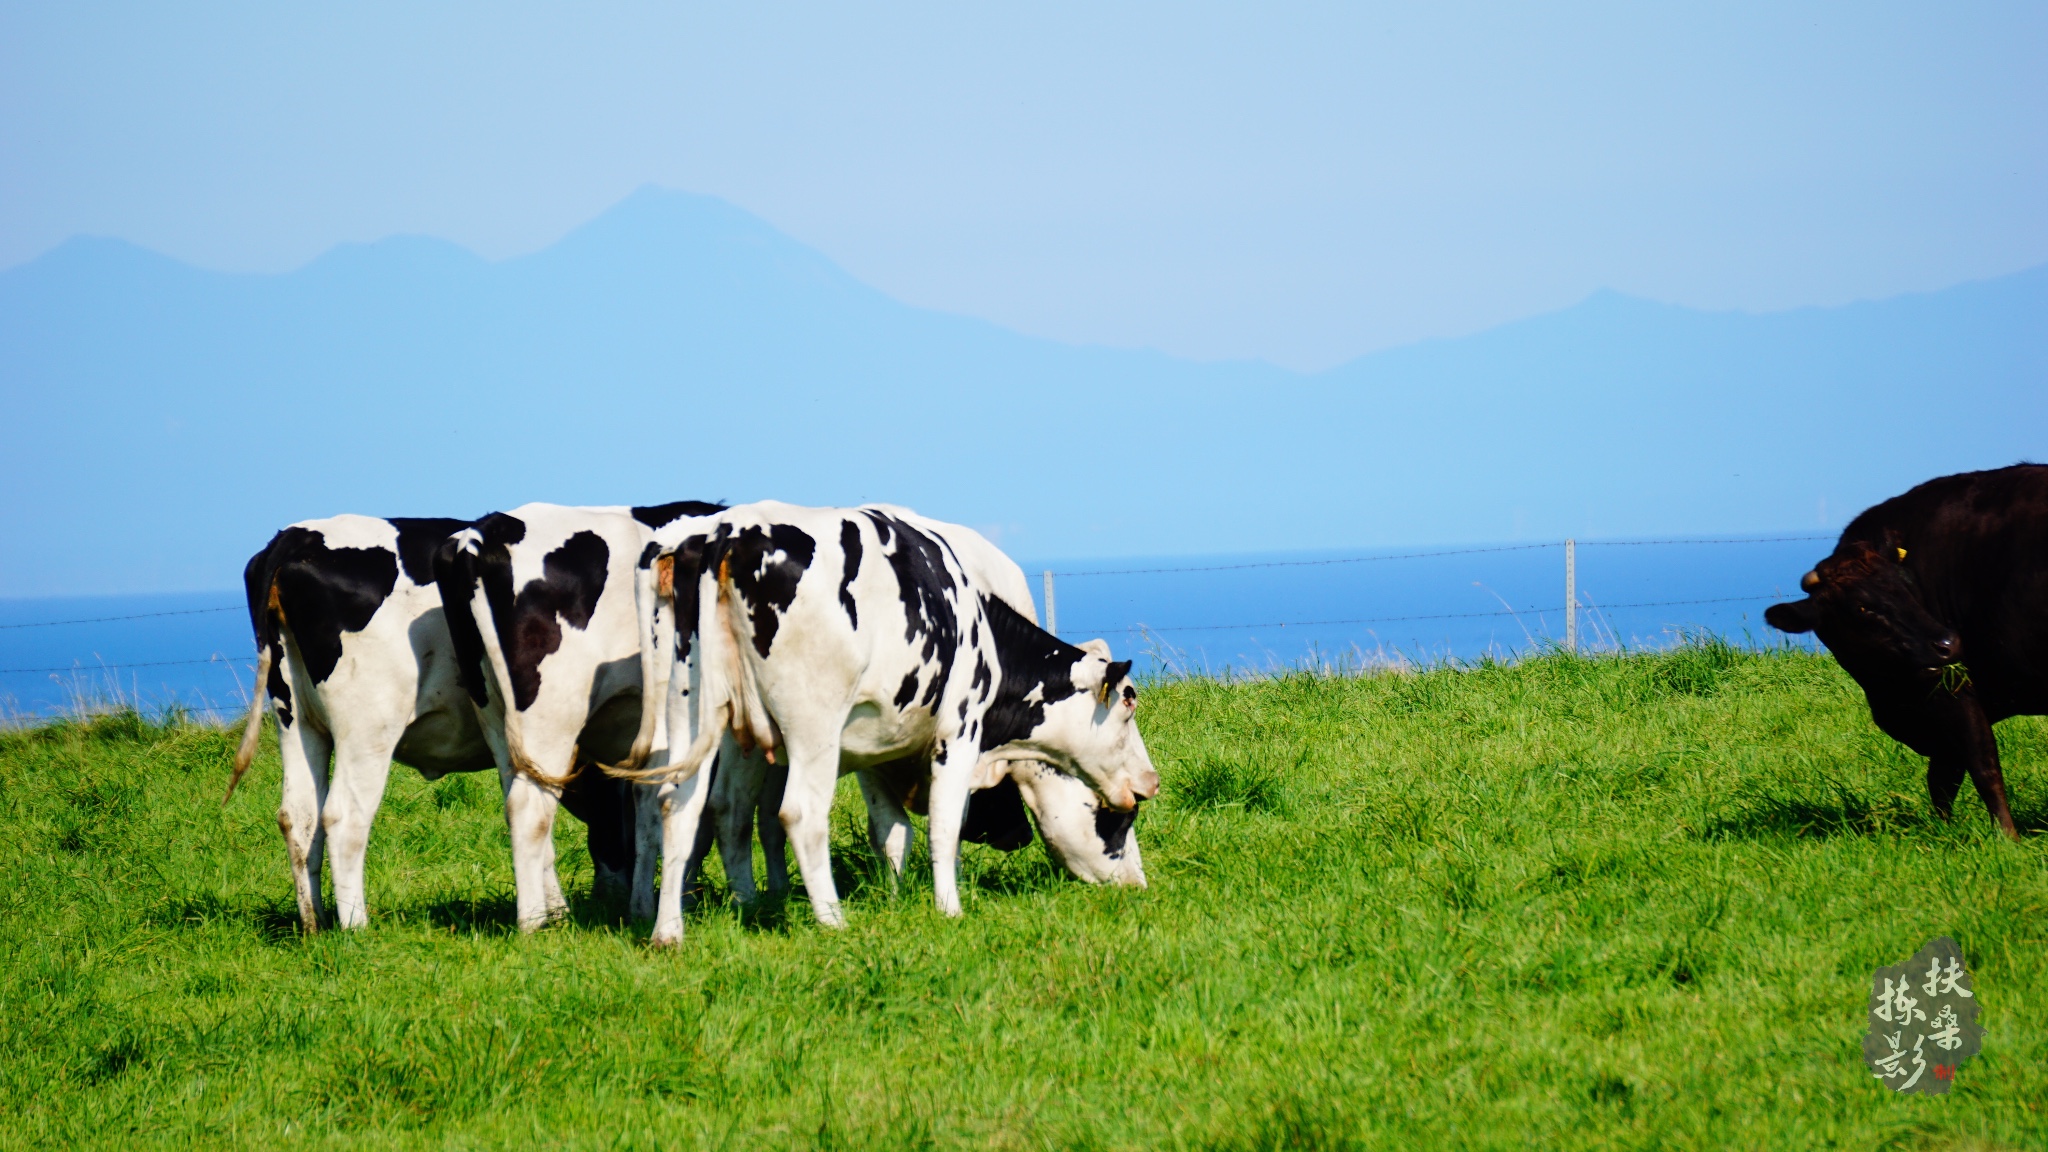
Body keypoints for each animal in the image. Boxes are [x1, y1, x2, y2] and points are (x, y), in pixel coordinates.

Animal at [225, 510, 643, 922]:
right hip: (368, 726)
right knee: (344, 816)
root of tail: (298, 535)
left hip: (296, 718)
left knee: (299, 816)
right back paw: (355, 926)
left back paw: (316, 923)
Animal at [428, 498, 724, 926]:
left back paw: (557, 912)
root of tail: (480, 534)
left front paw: (640, 906)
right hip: (550, 720)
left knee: (521, 801)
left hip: (498, 719)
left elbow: (645, 812)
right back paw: (533, 921)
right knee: (529, 807)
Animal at [622, 502, 1163, 942]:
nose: (1150, 782)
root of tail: (726, 533)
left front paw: (898, 898)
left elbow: (892, 831)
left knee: (689, 806)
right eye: (1128, 704)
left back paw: (677, 930)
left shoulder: (875, 750)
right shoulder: (958, 733)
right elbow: (945, 826)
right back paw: (832, 921)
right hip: (812, 725)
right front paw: (949, 909)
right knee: (799, 814)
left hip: (697, 712)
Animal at [1769, 461, 2039, 840]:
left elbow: (1982, 768)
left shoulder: (1954, 691)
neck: (1888, 694)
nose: (1948, 643)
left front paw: (2007, 839)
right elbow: (1944, 779)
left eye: (1908, 584)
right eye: (1862, 607)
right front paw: (1944, 832)